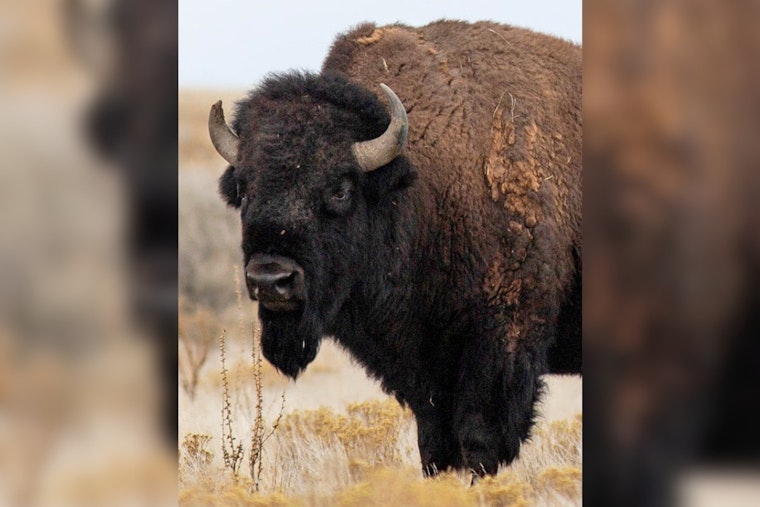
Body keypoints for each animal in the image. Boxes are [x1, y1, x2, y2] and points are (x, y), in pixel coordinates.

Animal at [209, 20, 581, 477]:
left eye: (340, 190)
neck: (420, 183)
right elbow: (435, 445)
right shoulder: (425, 371)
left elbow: (478, 439)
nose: (271, 279)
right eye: (243, 189)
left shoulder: (499, 347)